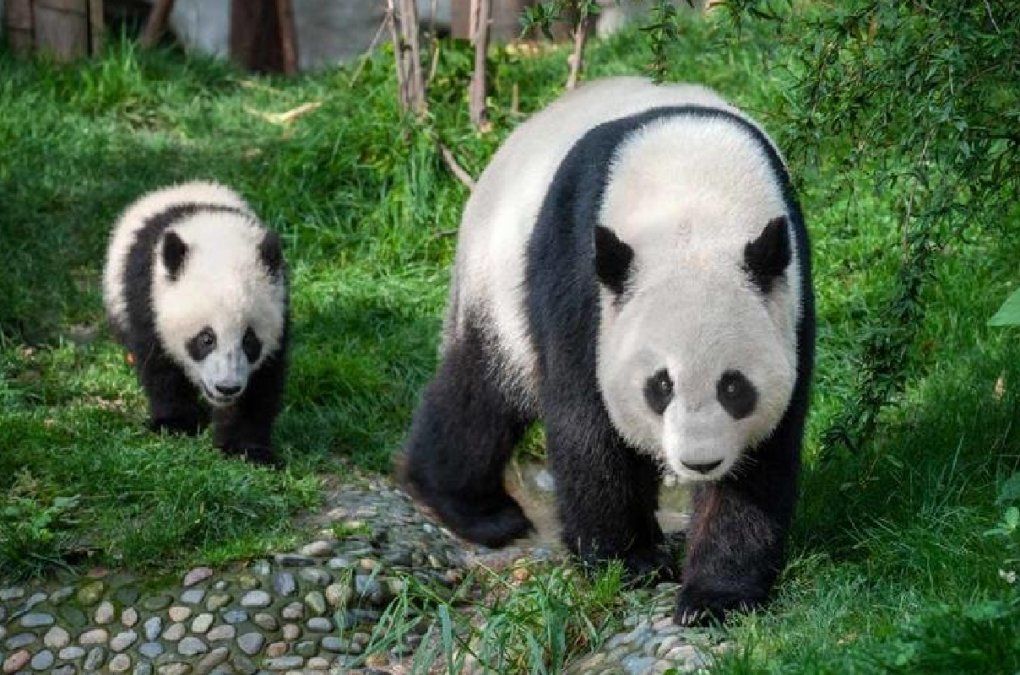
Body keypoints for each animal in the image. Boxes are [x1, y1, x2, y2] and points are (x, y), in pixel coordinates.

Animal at [103, 181, 289, 465]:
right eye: (206, 338)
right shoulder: (148, 298)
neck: (219, 241)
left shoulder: (280, 308)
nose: (226, 388)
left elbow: (261, 384)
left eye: (249, 340)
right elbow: (159, 365)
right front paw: (176, 424)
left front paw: (247, 448)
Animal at [402, 77, 815, 625]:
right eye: (660, 386)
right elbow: (587, 422)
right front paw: (628, 560)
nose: (700, 462)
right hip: (498, 275)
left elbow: (761, 457)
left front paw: (715, 595)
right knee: (481, 392)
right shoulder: (580, 272)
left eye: (734, 388)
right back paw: (471, 506)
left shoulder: (790, 297)